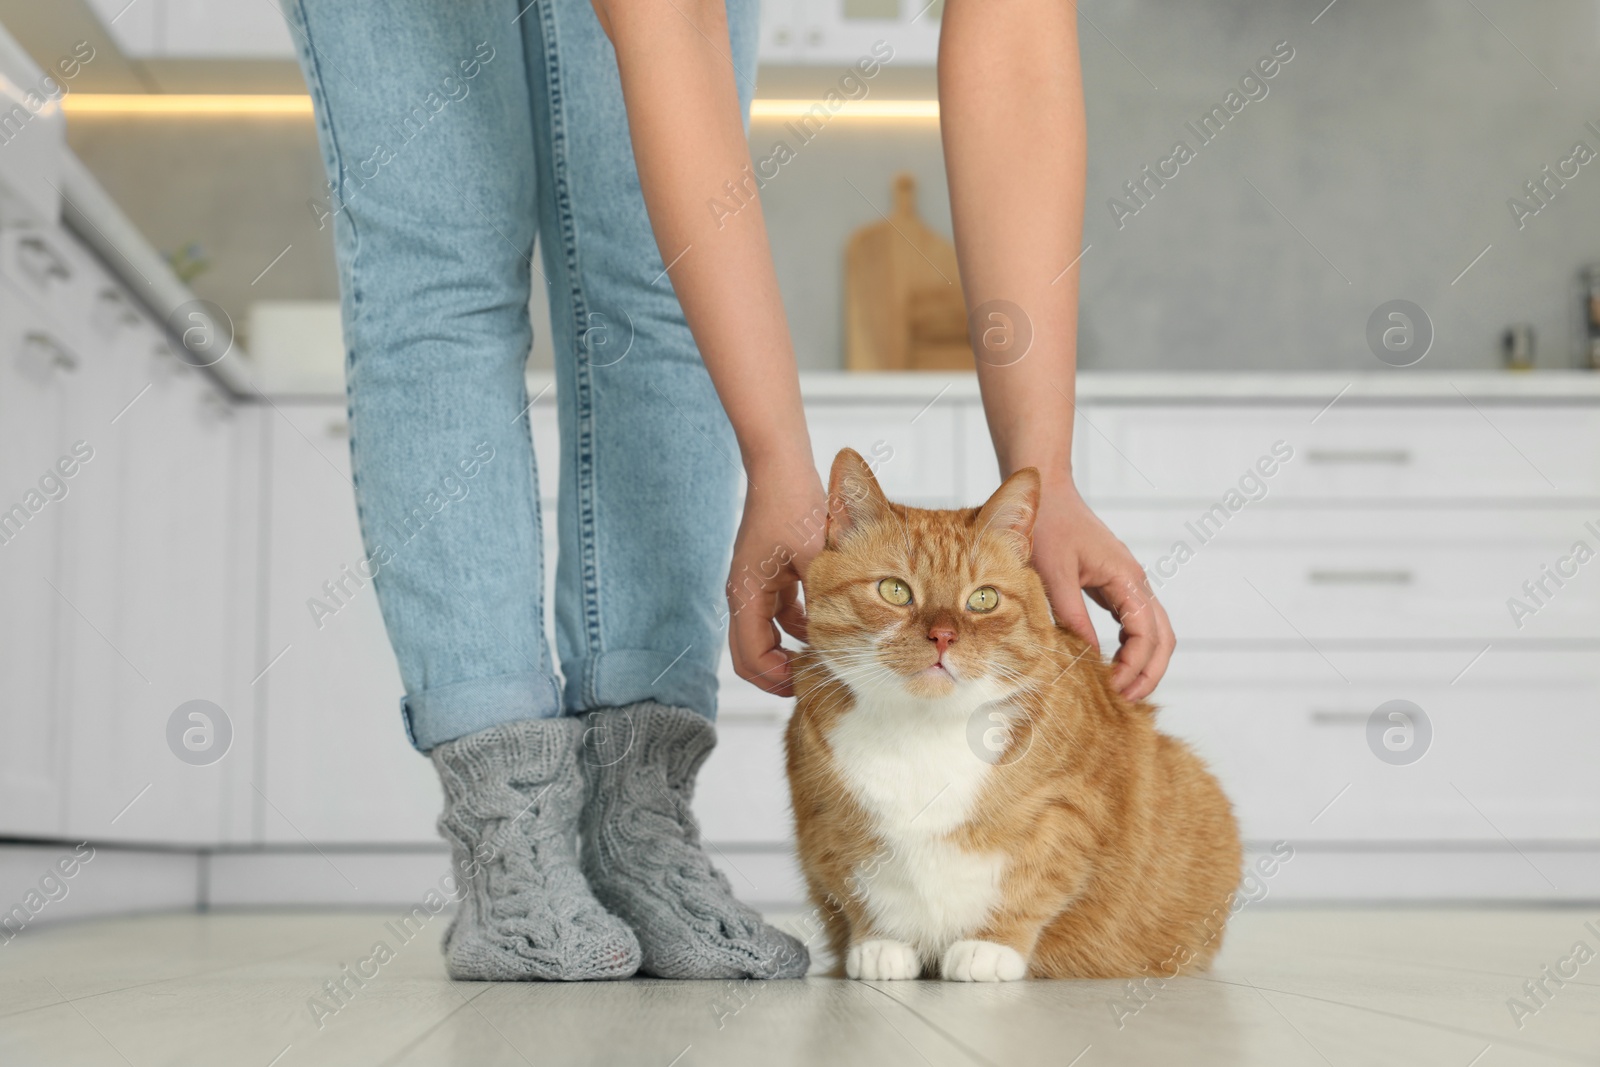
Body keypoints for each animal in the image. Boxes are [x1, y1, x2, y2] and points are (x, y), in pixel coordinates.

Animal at [784, 447, 1235, 979]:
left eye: (983, 599)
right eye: (895, 591)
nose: (943, 636)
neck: (924, 727)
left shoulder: (1067, 812)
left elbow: (1032, 884)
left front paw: (989, 947)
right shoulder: (827, 821)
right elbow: (859, 890)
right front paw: (880, 944)